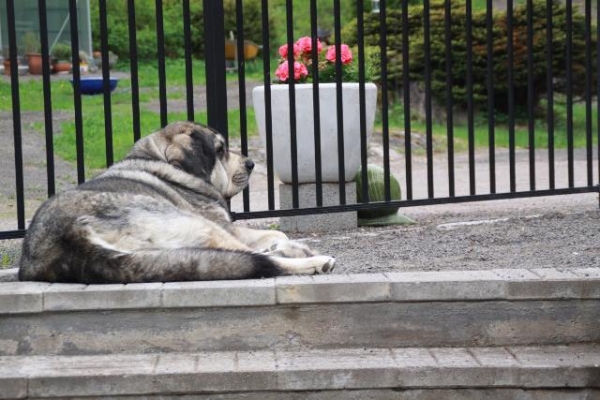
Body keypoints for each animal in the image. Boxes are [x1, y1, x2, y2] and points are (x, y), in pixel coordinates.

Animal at [18, 120, 336, 282]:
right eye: (220, 150)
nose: (250, 164)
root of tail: (68, 236)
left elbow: (272, 235)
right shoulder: (221, 224)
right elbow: (271, 235)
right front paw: (286, 245)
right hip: (188, 221)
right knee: (254, 257)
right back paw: (315, 260)